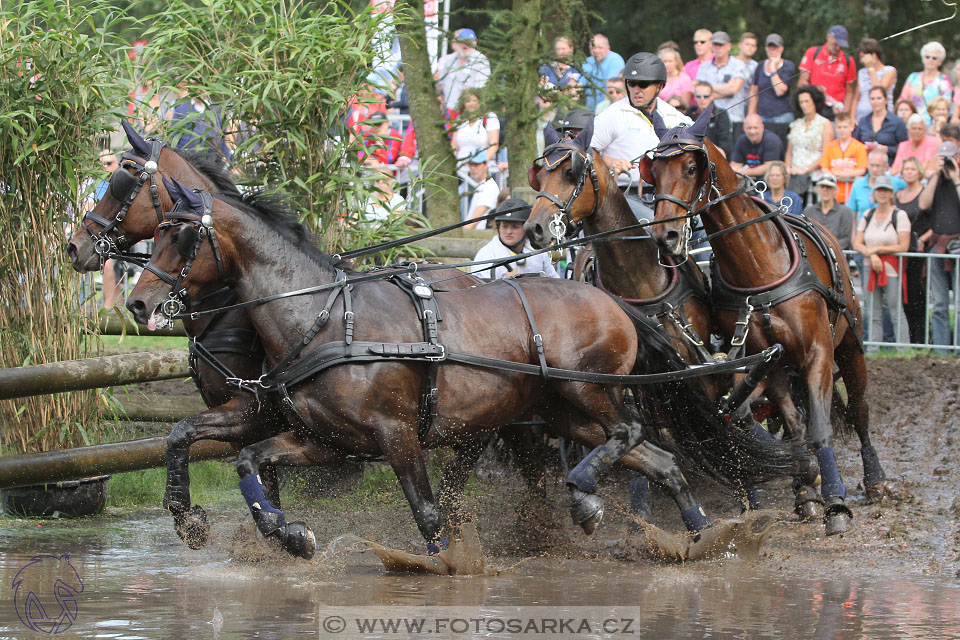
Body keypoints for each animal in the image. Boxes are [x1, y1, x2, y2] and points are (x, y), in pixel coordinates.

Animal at [125, 178, 804, 556]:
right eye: (154, 230)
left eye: (179, 236)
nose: (138, 303)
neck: (324, 316)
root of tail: (613, 301)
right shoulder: (326, 440)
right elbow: (238, 456)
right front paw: (266, 530)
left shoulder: (396, 434)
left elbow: (427, 513)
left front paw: (448, 561)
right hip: (561, 413)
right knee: (659, 460)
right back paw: (697, 534)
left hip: (588, 392)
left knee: (629, 432)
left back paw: (587, 498)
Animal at [640, 105, 888, 536]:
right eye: (653, 170)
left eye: (691, 167)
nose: (665, 235)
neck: (756, 266)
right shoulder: (767, 361)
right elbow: (796, 427)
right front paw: (807, 493)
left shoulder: (818, 352)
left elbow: (820, 428)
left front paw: (836, 502)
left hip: (849, 344)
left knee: (859, 410)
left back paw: (875, 481)